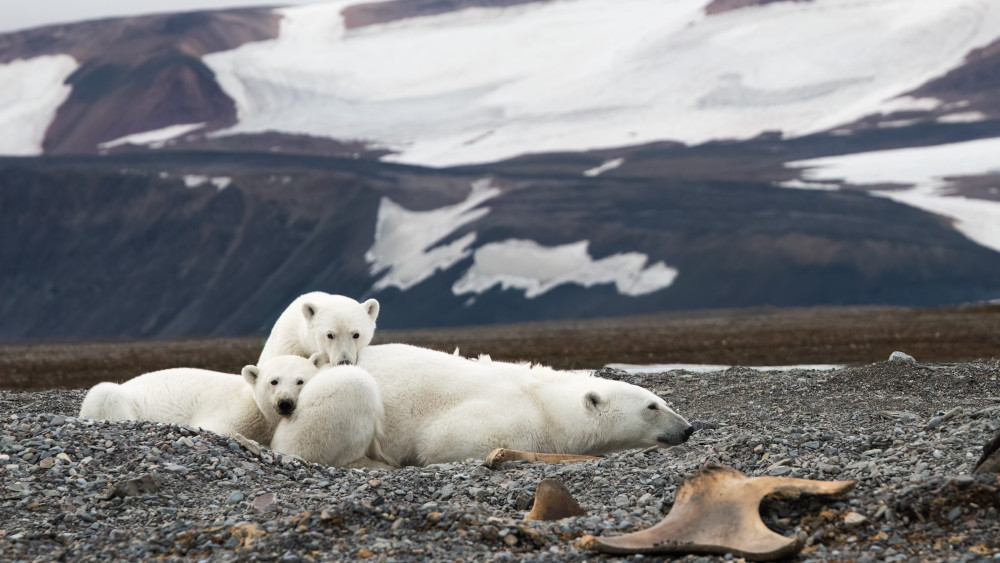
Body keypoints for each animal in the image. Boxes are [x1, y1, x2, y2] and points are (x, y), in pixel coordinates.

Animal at [77, 354, 327, 445]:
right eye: (274, 381)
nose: (285, 402)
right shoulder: (235, 412)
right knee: (104, 393)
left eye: (300, 381)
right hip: (115, 396)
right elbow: (218, 428)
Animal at [273, 343, 693, 468]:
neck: (546, 403)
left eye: (664, 400)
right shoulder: (506, 419)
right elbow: (442, 442)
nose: (688, 428)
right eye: (652, 407)